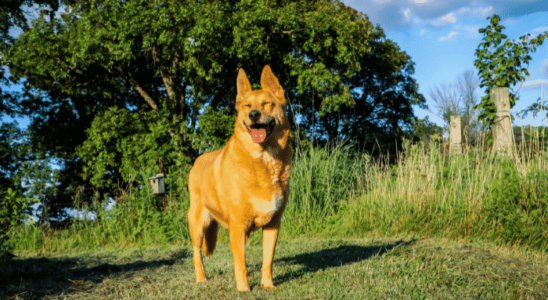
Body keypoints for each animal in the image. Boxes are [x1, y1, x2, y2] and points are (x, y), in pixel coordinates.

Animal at [187, 65, 292, 290]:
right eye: (247, 106)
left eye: (267, 104)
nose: (254, 115)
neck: (263, 159)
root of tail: (199, 158)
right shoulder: (237, 225)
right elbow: (241, 264)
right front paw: (244, 290)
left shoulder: (273, 224)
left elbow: (267, 260)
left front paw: (268, 286)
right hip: (197, 225)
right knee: (196, 255)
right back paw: (201, 279)